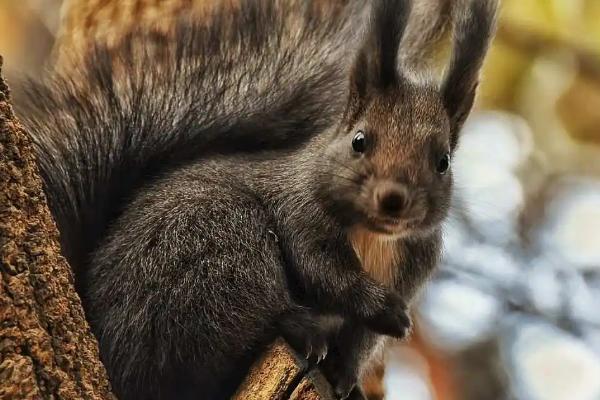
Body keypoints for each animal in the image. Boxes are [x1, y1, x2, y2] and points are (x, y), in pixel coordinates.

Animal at [15, 0, 496, 398]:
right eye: (360, 140)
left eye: (443, 161)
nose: (394, 199)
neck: (372, 235)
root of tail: (110, 351)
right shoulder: (300, 212)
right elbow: (326, 274)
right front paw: (385, 310)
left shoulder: (411, 266)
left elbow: (359, 343)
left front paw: (347, 379)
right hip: (218, 245)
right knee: (248, 316)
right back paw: (299, 326)